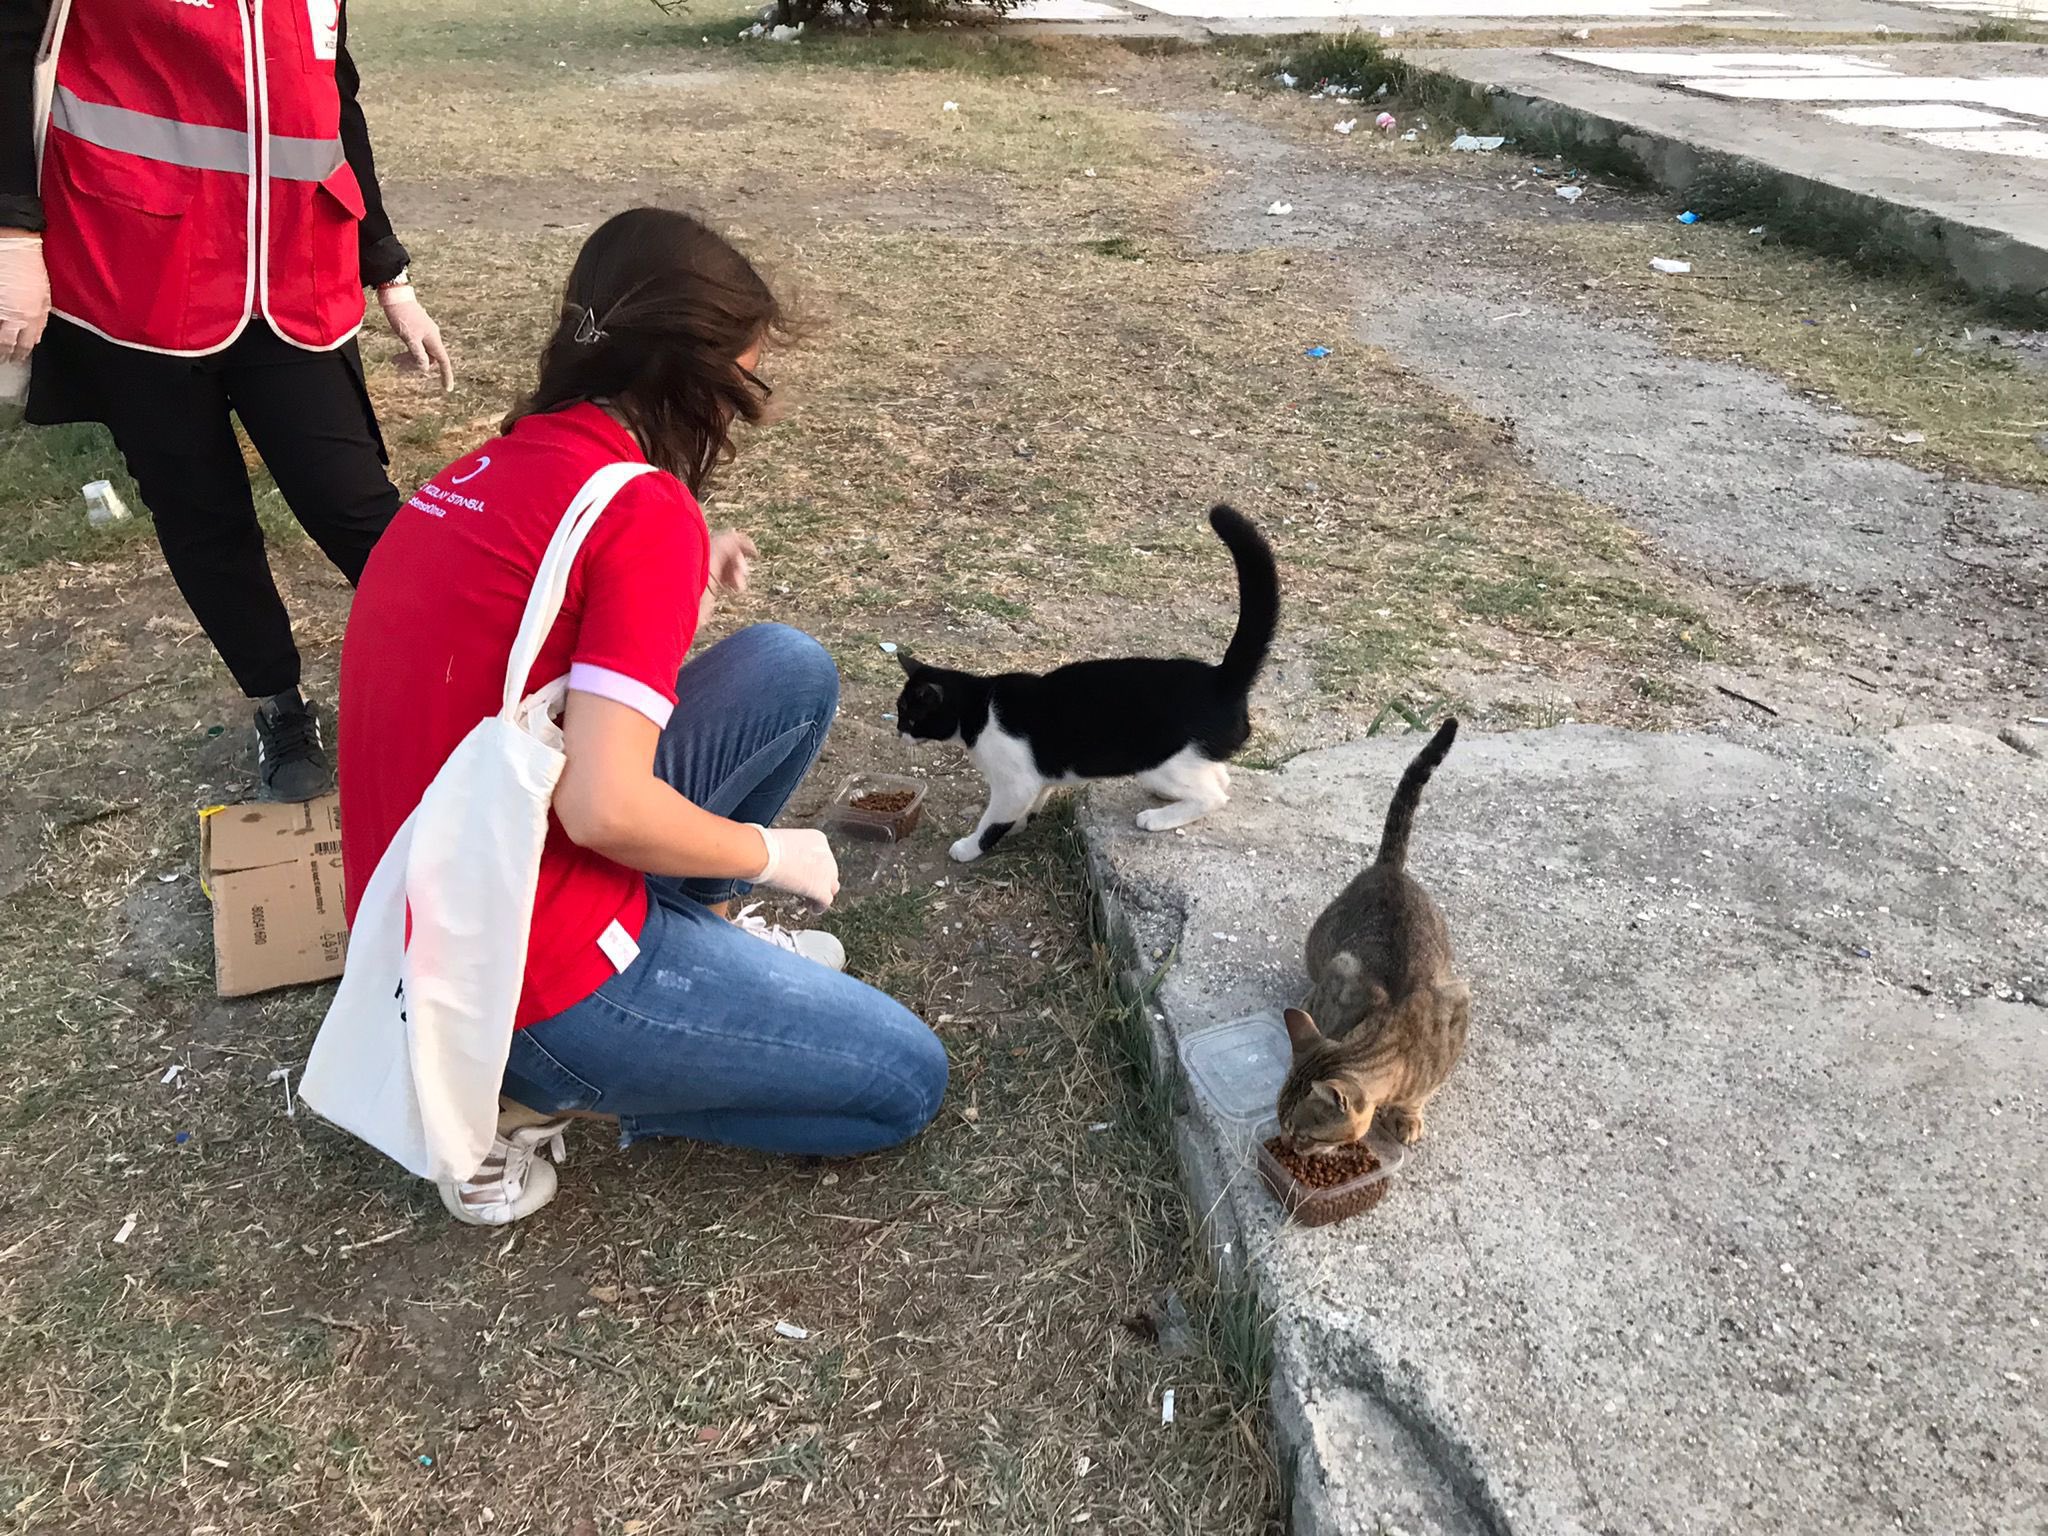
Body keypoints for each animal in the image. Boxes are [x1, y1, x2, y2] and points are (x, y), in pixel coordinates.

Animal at [897, 507, 1277, 860]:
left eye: (910, 715)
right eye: (900, 712)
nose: (898, 731)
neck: (978, 708)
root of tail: (1220, 677)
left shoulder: (1013, 783)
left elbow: (993, 821)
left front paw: (969, 847)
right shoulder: (1038, 776)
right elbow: (1033, 800)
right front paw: (1021, 823)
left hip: (1160, 763)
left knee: (1215, 795)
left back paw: (1158, 817)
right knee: (1220, 776)